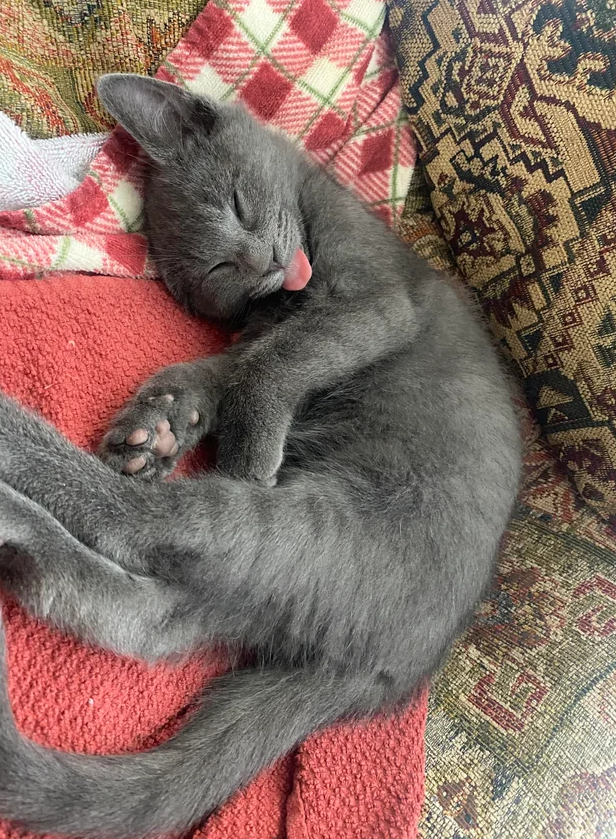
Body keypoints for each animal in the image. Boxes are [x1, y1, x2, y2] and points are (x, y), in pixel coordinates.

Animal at [0, 74, 521, 839]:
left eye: (241, 205)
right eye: (220, 269)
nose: (272, 267)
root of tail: (390, 670)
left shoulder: (372, 299)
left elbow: (263, 370)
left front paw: (233, 442)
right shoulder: (264, 327)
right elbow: (231, 366)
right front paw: (159, 423)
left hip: (313, 536)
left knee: (151, 533)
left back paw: (16, 471)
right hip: (289, 571)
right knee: (151, 614)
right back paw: (20, 538)